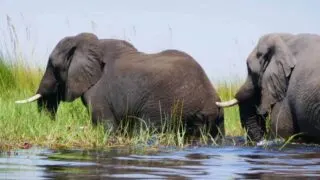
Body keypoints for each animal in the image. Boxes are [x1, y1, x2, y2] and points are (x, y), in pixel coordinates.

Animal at [15, 32, 225, 139]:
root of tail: (211, 99)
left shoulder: (98, 91)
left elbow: (105, 125)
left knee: (146, 128)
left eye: (53, 65)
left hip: (166, 105)